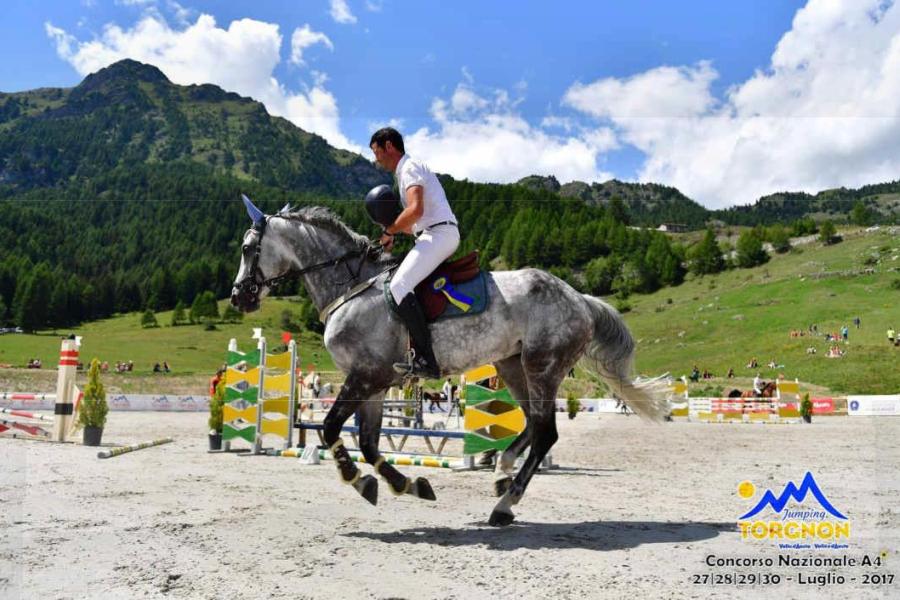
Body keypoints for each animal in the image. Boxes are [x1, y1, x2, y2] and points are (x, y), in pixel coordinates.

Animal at [229, 200, 672, 524]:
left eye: (249, 249)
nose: (238, 297)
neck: (350, 287)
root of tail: (579, 298)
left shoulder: (365, 376)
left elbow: (331, 428)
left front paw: (359, 480)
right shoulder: (373, 381)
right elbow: (368, 442)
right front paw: (404, 484)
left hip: (542, 366)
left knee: (546, 432)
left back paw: (504, 504)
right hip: (513, 365)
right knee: (532, 424)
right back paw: (501, 472)